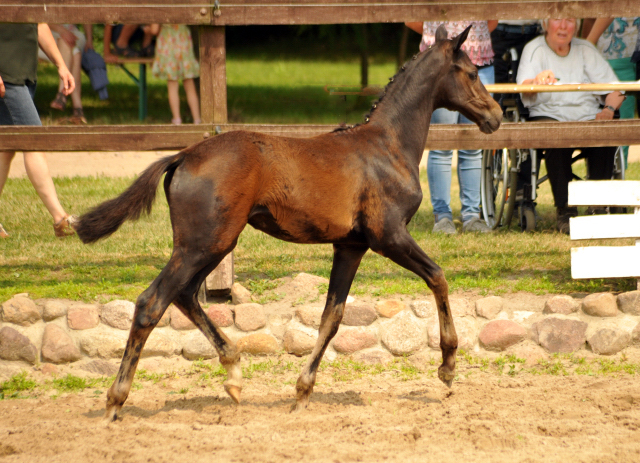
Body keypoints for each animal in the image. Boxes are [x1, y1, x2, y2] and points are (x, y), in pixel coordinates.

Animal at [77, 26, 502, 424]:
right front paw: (447, 367)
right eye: (471, 72)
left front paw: (302, 392)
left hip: (213, 244)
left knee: (184, 295)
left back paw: (233, 374)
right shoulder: (389, 235)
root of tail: (183, 156)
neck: (388, 147)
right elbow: (438, 276)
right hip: (203, 243)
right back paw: (116, 401)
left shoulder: (350, 246)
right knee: (153, 302)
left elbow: (332, 317)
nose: (496, 115)